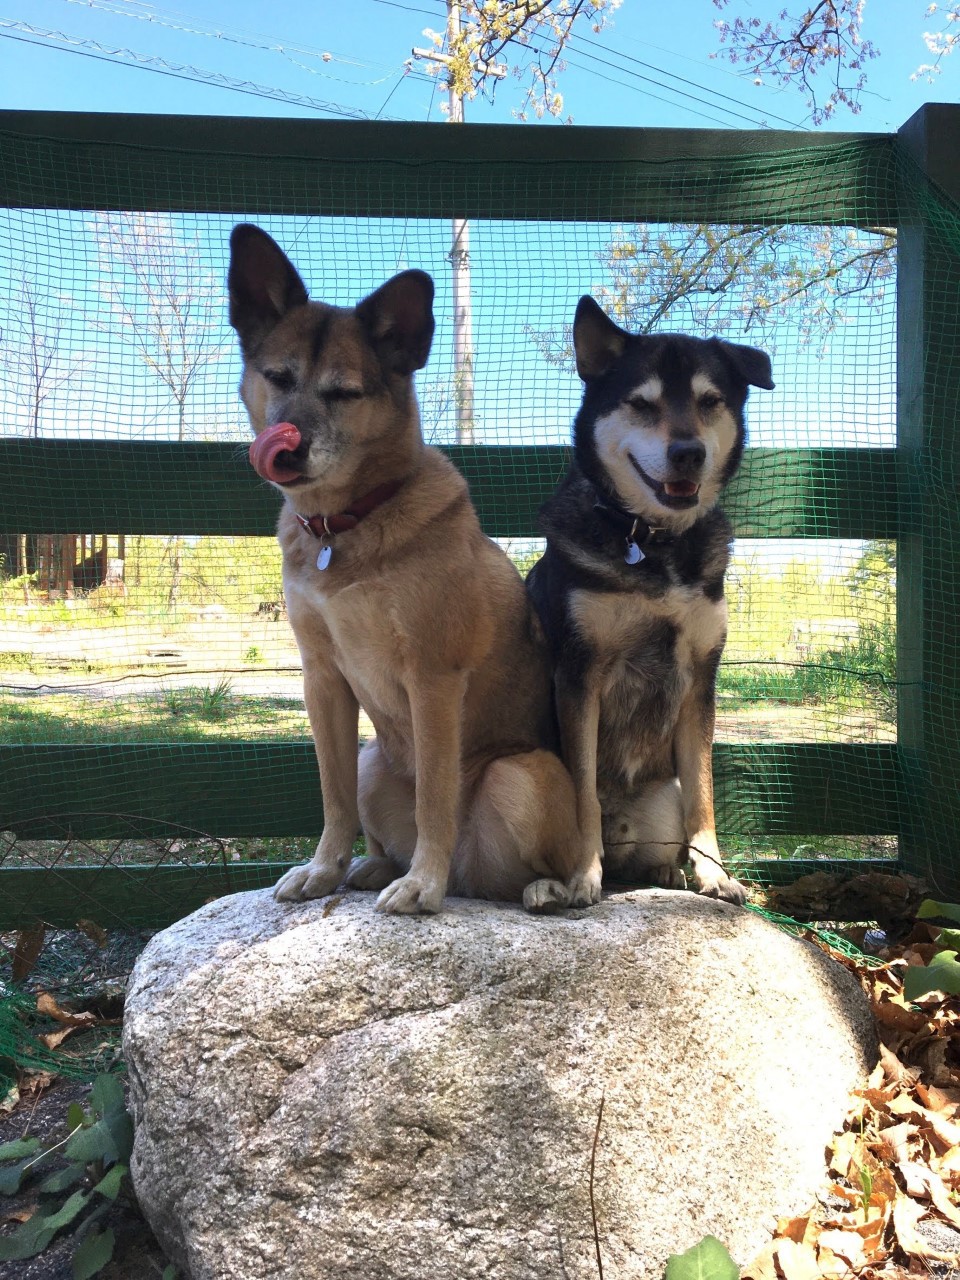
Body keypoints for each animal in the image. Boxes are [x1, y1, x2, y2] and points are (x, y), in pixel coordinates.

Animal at [227, 225, 599, 916]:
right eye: (278, 377)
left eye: (344, 393)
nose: (287, 448)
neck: (345, 524)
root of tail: (472, 878)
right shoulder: (323, 679)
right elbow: (332, 796)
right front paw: (322, 869)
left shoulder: (432, 679)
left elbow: (435, 795)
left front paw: (423, 883)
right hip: (374, 760)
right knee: (372, 815)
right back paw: (372, 867)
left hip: (518, 773)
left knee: (536, 862)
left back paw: (538, 888)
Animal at [527, 295, 773, 906]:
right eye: (641, 404)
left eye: (710, 401)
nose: (688, 453)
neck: (652, 542)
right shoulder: (580, 673)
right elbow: (583, 792)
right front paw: (581, 877)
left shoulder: (701, 677)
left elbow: (703, 790)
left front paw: (714, 873)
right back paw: (548, 885)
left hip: (663, 804)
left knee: (658, 843)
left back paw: (668, 873)